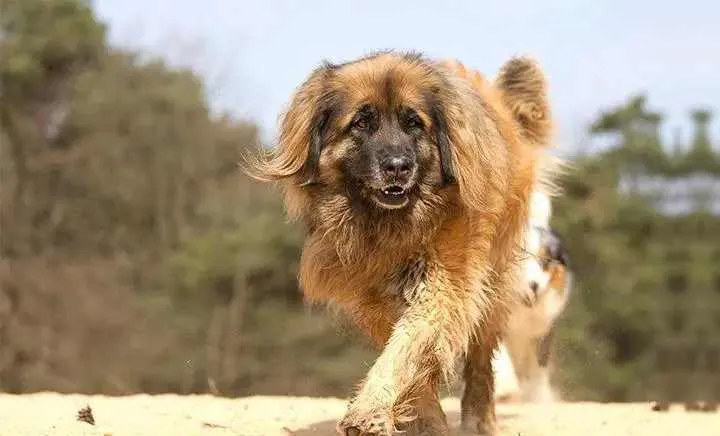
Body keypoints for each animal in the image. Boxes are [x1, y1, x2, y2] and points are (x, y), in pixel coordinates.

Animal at [248, 52, 556, 436]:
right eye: (362, 123)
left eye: (414, 124)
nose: (398, 167)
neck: (389, 227)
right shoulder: (371, 298)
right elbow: (409, 357)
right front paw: (424, 418)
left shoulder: (443, 285)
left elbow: (405, 347)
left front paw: (369, 409)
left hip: (494, 276)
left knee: (481, 359)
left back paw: (478, 419)